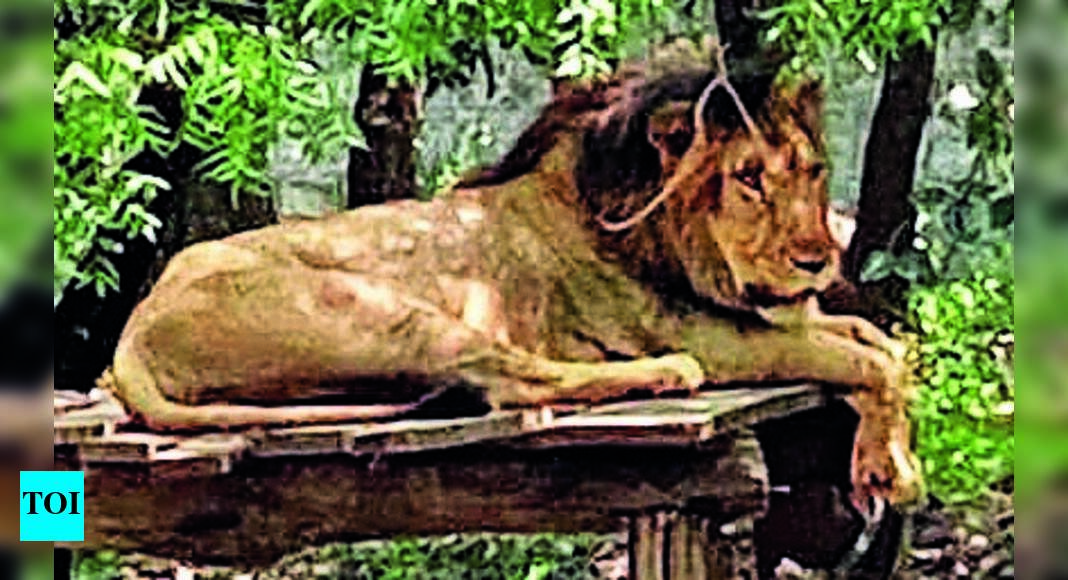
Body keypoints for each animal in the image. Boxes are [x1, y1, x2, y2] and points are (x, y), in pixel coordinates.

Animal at [97, 44, 921, 514]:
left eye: (811, 171)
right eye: (748, 178)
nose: (818, 257)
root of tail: (134, 329)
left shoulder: (789, 316)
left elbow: (880, 344)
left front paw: (884, 463)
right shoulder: (726, 340)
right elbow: (870, 361)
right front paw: (892, 472)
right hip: (385, 309)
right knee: (515, 380)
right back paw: (662, 373)